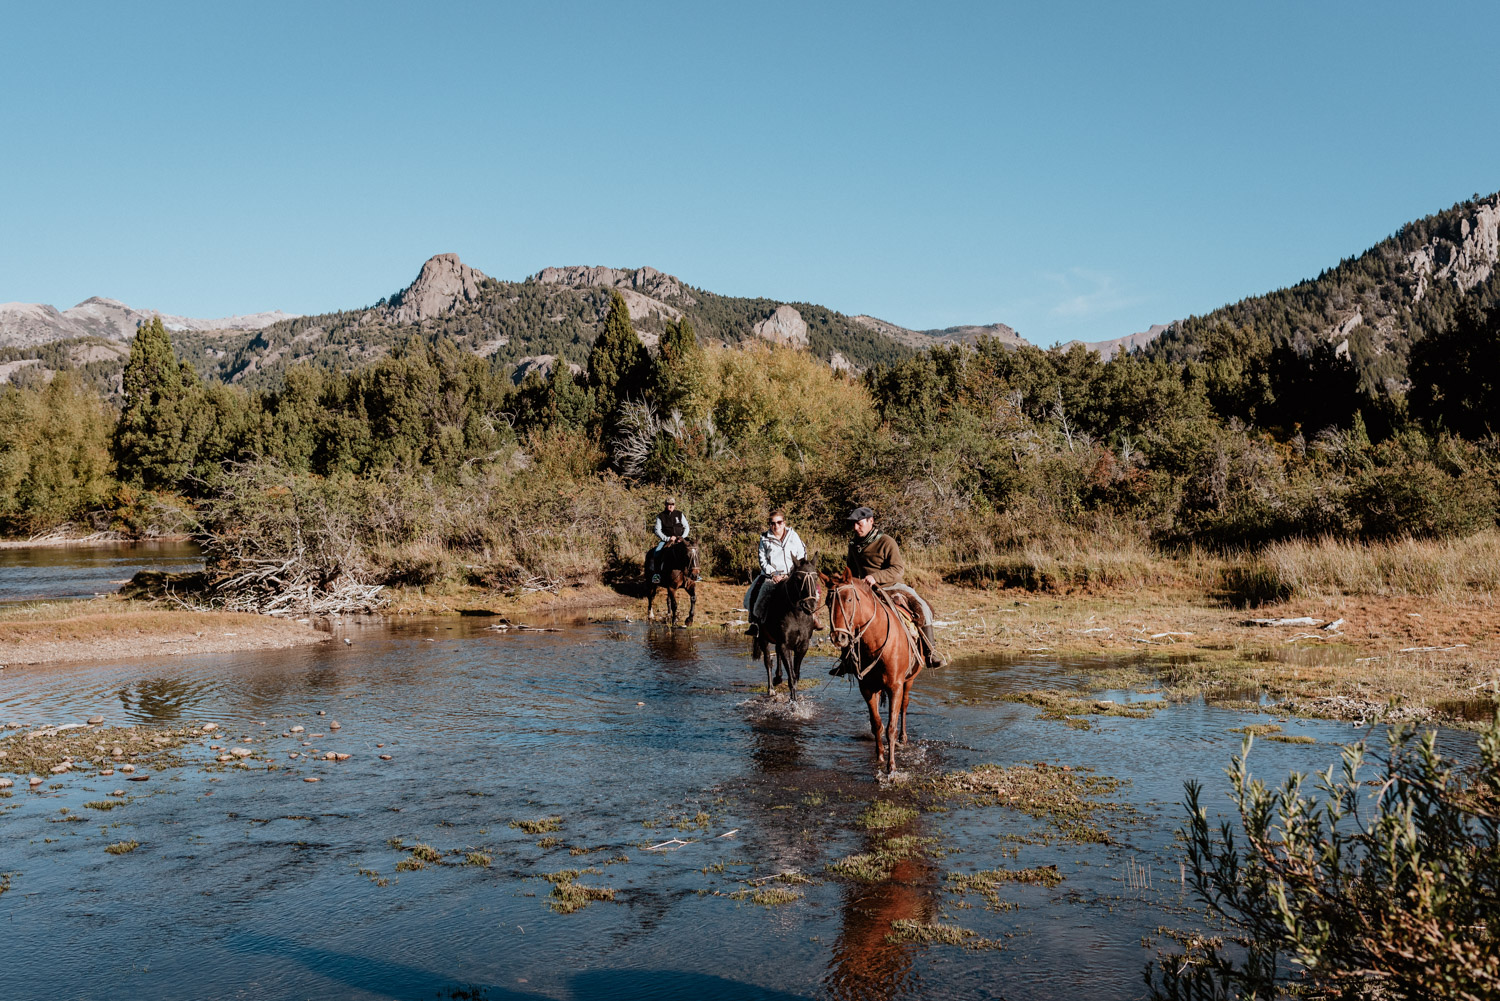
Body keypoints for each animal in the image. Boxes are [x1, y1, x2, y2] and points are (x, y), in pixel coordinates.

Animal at [750, 555, 822, 705]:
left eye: (816, 577)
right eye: (798, 578)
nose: (810, 605)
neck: (797, 614)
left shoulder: (802, 646)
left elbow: (796, 674)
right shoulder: (785, 645)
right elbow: (792, 676)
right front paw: (793, 702)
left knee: (776, 655)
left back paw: (778, 678)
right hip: (763, 639)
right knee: (768, 661)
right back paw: (771, 688)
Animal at [822, 567, 924, 780]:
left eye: (849, 599)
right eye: (828, 602)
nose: (838, 637)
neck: (875, 640)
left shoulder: (895, 686)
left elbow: (891, 726)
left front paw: (891, 767)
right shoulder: (867, 688)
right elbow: (877, 723)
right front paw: (879, 758)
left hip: (909, 681)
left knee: (904, 707)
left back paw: (903, 737)